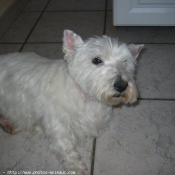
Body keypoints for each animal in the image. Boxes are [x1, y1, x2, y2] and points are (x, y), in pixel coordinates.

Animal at [0, 29, 144, 174]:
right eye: (97, 60)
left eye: (125, 61)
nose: (122, 85)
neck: (87, 97)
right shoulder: (56, 124)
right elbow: (65, 148)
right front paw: (77, 168)